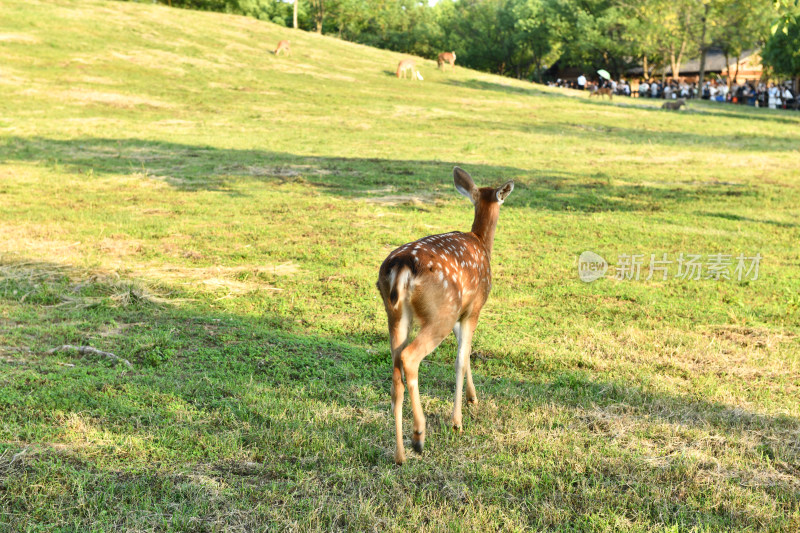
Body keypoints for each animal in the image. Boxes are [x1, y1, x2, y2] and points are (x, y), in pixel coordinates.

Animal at [378, 166, 516, 462]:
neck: (482, 243)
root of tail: (401, 268)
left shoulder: (459, 314)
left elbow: (465, 354)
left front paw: (473, 398)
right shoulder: (473, 308)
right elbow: (461, 359)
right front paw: (457, 421)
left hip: (396, 314)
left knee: (395, 377)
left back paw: (400, 455)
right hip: (440, 311)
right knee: (409, 358)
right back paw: (419, 435)